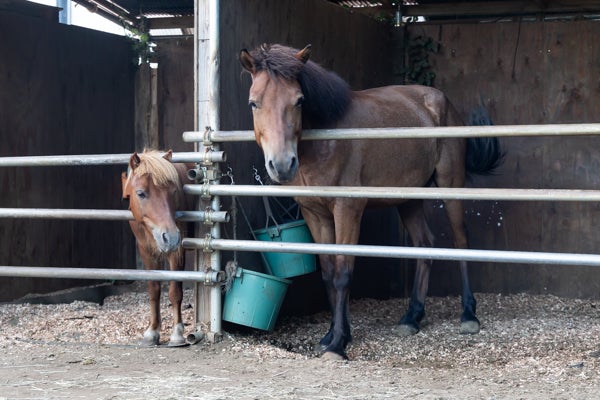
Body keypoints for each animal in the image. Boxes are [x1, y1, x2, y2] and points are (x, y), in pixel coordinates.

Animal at [123, 150, 193, 346]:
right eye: (141, 193)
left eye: (173, 192)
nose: (170, 237)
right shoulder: (146, 251)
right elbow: (154, 289)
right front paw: (152, 331)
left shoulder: (177, 252)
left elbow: (175, 291)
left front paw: (177, 333)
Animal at [239, 43, 502, 360]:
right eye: (254, 103)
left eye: (299, 100)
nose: (282, 165)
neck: (327, 138)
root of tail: (443, 102)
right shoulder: (315, 214)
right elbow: (328, 274)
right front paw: (330, 336)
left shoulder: (348, 210)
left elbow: (343, 273)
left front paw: (338, 344)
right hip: (409, 199)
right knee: (424, 245)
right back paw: (411, 318)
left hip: (451, 185)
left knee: (461, 241)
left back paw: (468, 315)